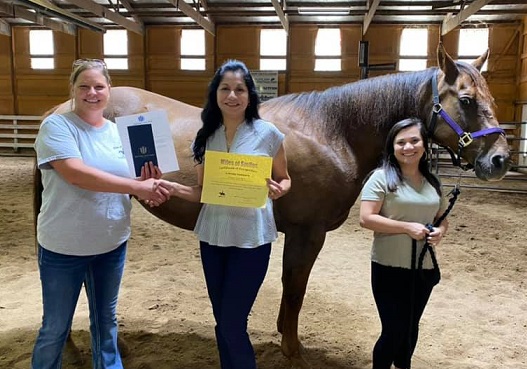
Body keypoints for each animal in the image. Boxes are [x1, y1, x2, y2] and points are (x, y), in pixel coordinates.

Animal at [33, 43, 512, 368]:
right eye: (466, 100)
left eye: (490, 98)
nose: (500, 160)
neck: (331, 130)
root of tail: (60, 108)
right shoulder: (307, 233)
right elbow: (294, 289)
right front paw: (293, 351)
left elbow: (291, 290)